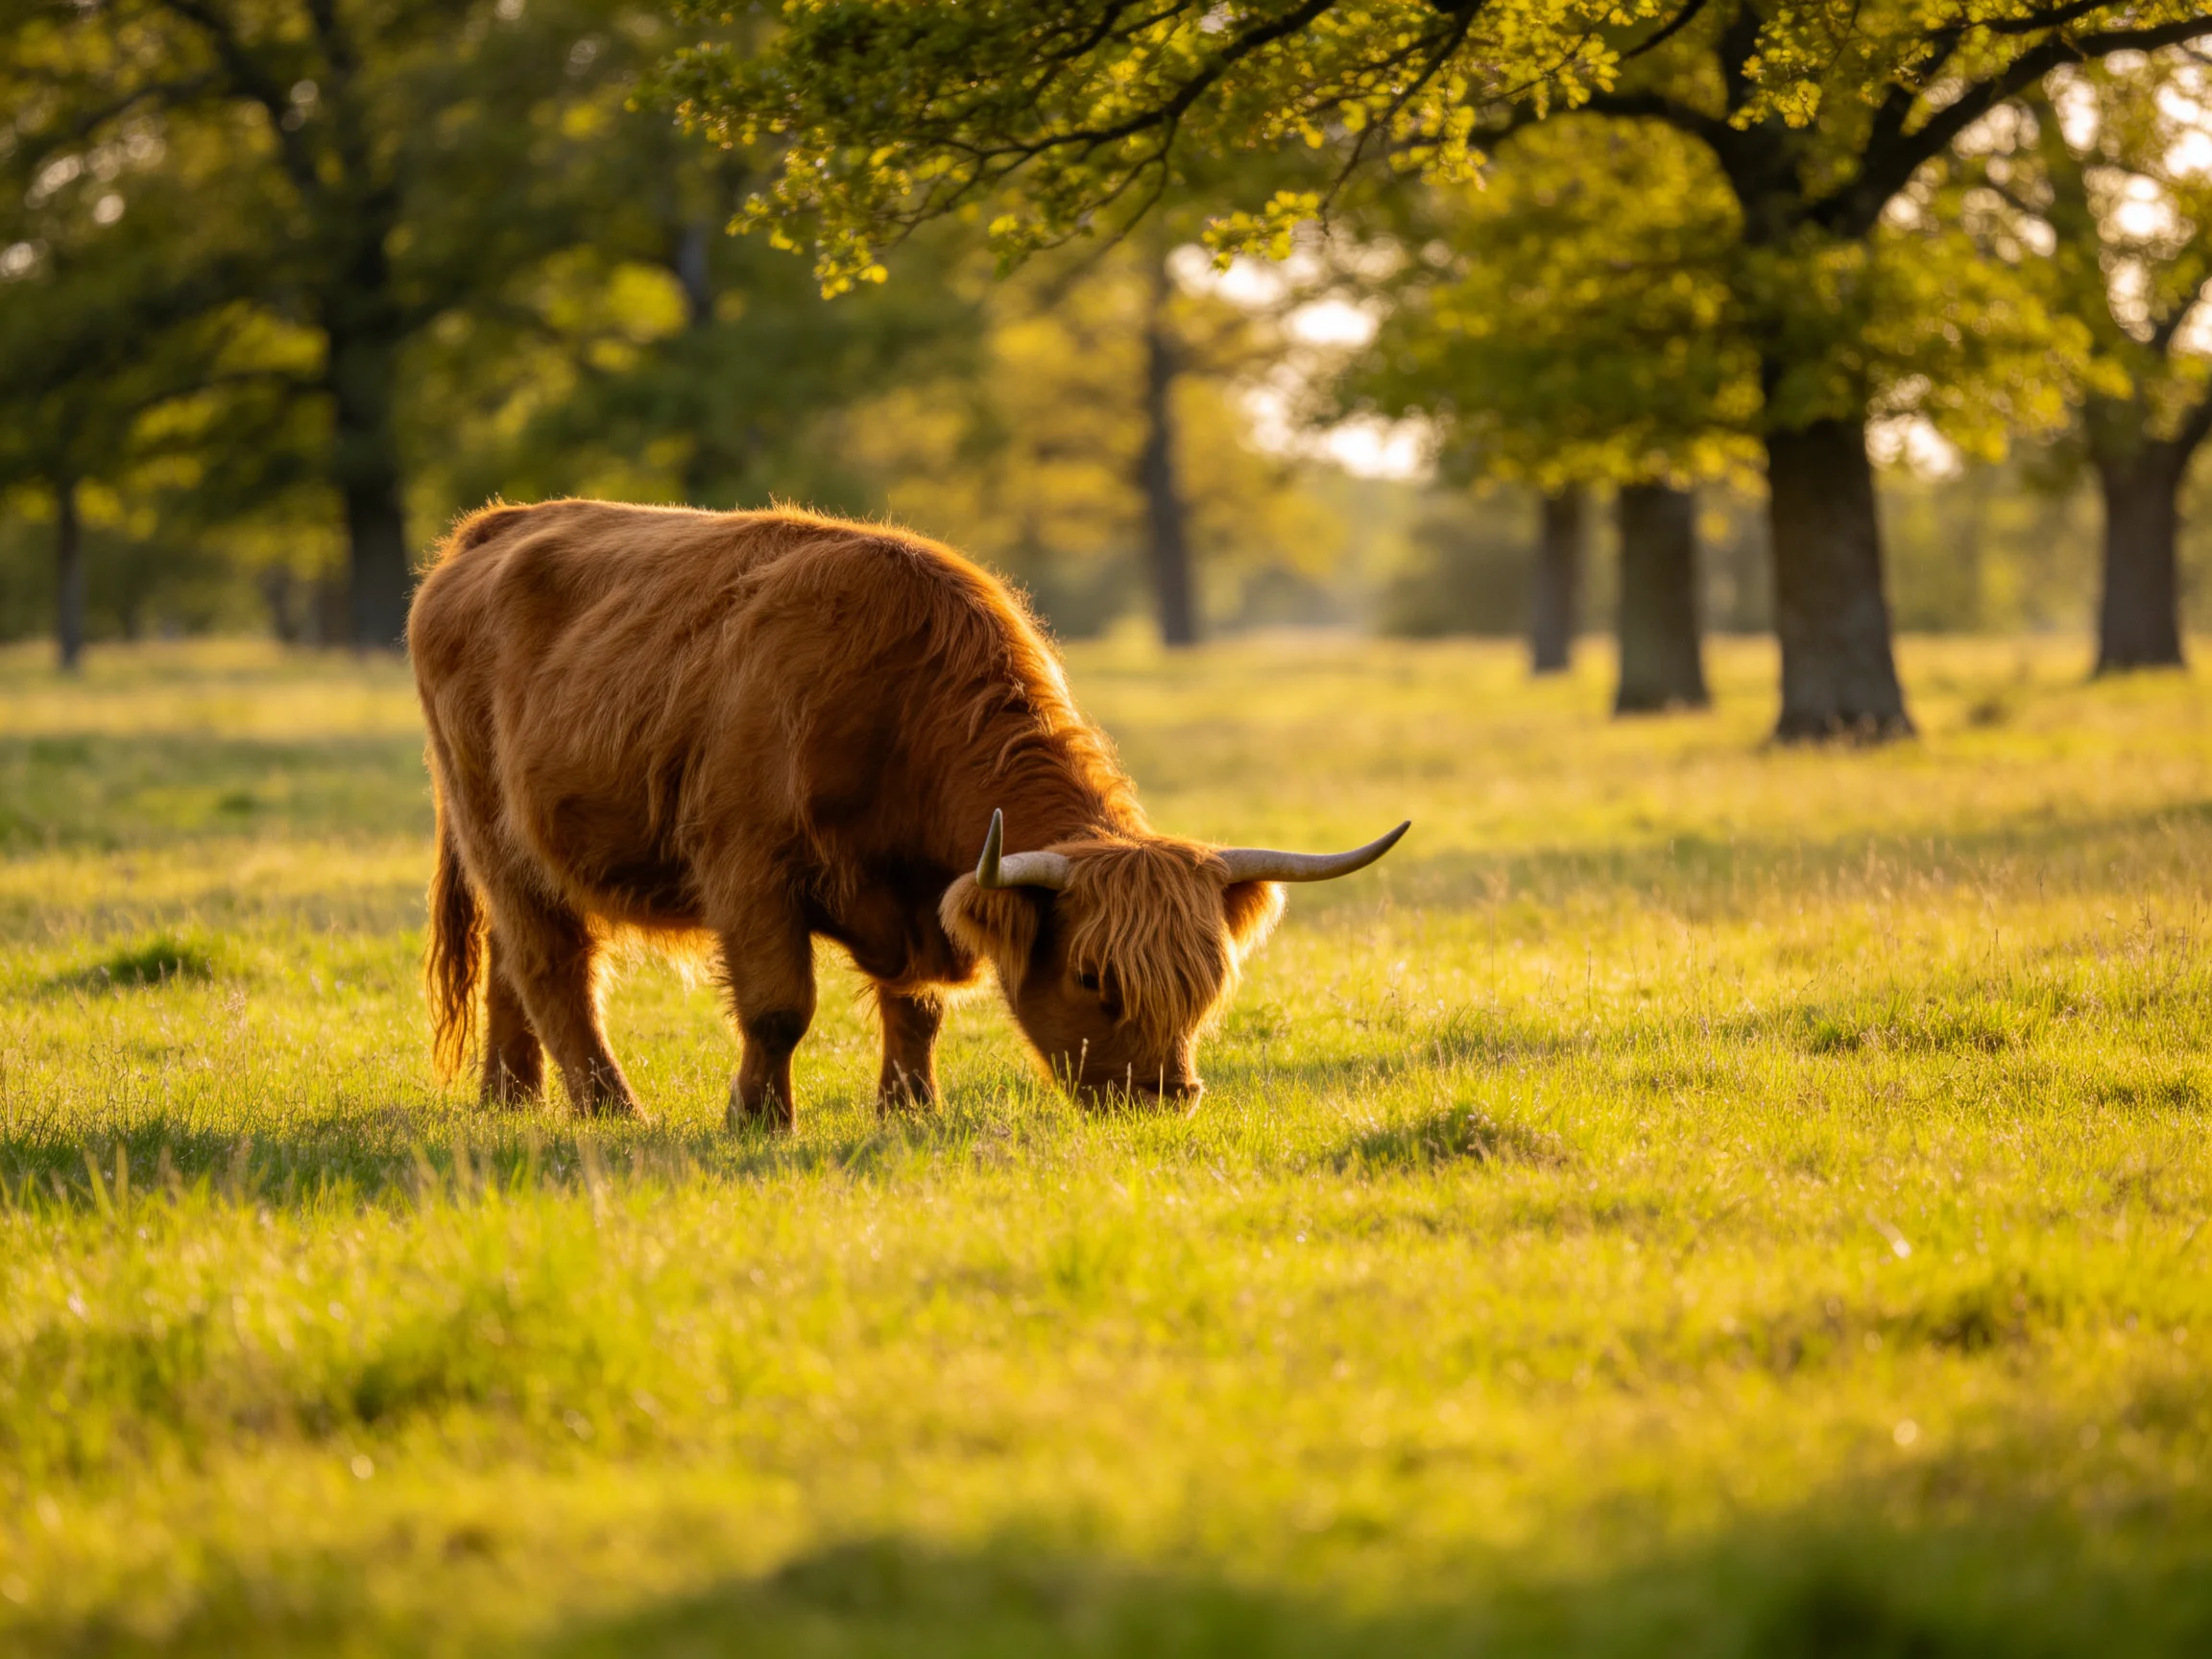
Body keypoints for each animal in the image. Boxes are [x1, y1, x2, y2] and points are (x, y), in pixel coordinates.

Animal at [408, 499, 1407, 1128]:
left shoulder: (926, 899)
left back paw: (510, 1099)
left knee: (514, 966)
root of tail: (497, 525)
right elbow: (779, 1008)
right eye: (1094, 977)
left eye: (1208, 981)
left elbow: (917, 1007)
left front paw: (909, 1108)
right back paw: (611, 1108)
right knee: (552, 965)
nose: (1162, 1096)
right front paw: (759, 1120)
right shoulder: (749, 870)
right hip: (496, 828)